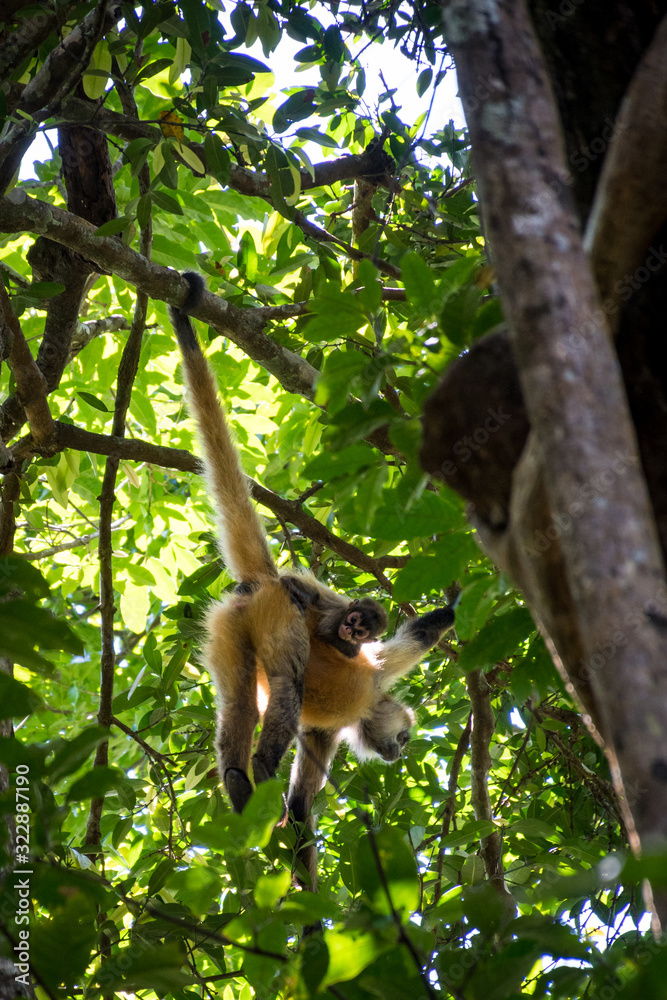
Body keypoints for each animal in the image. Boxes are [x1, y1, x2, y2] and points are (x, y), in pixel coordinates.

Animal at [168, 272, 456, 884]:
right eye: (405, 736)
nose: (401, 752)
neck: (365, 705)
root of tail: (266, 584)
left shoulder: (331, 724)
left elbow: (302, 807)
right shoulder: (370, 679)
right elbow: (416, 638)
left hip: (229, 625)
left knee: (236, 698)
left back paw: (236, 779)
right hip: (279, 620)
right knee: (285, 683)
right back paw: (260, 765)